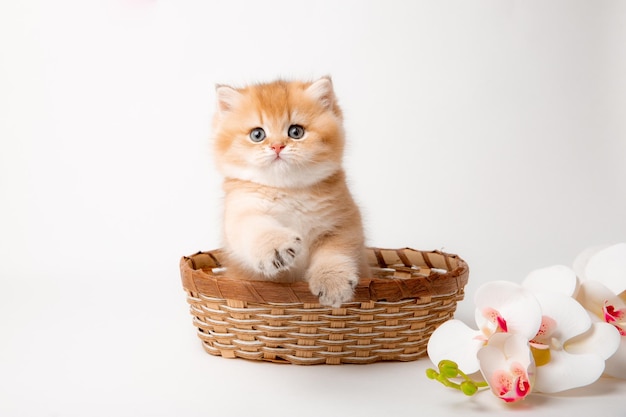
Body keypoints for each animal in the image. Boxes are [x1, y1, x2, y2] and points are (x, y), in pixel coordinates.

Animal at [211, 77, 366, 306]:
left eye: (296, 132)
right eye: (257, 134)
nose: (277, 146)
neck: (289, 191)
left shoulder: (343, 222)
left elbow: (335, 252)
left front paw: (333, 283)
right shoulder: (241, 212)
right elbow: (255, 228)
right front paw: (276, 247)